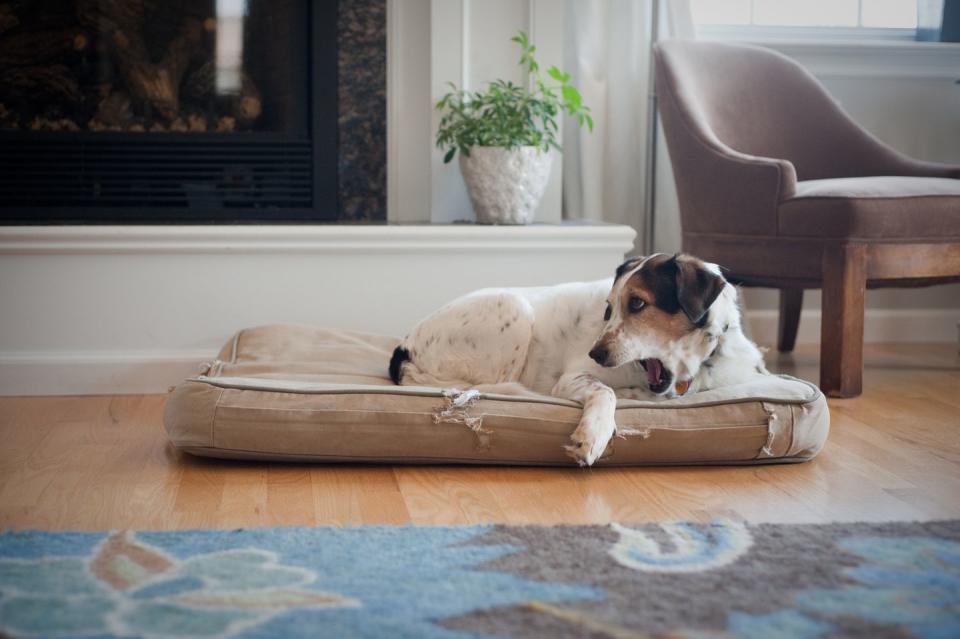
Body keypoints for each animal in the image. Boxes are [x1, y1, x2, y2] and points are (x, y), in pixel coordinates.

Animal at [386, 252, 768, 468]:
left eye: (638, 303)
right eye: (609, 308)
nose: (595, 353)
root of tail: (405, 348)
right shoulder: (573, 377)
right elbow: (605, 392)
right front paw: (594, 434)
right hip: (513, 308)